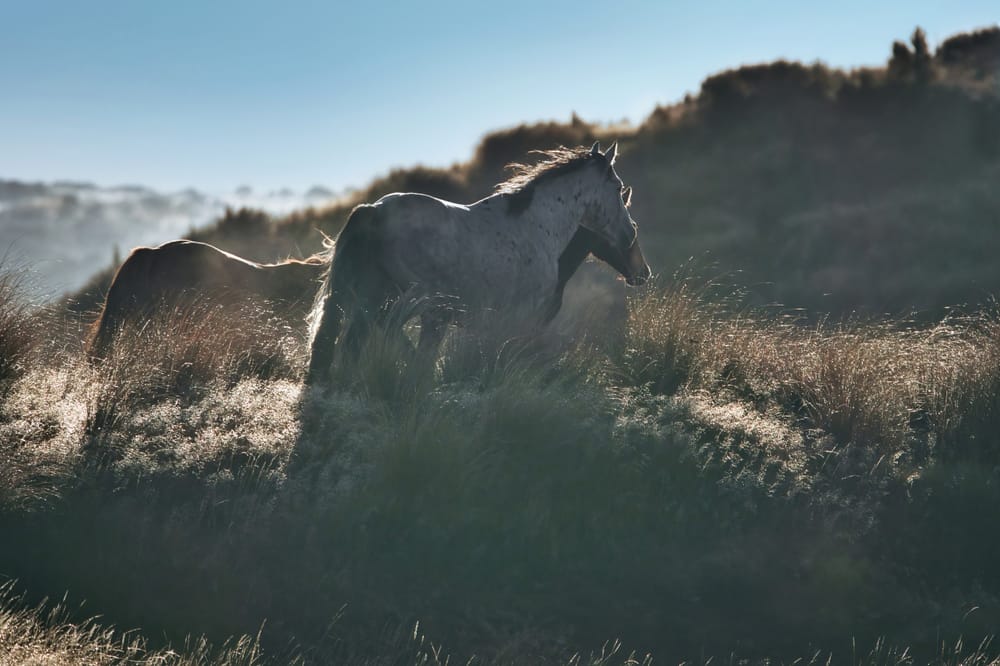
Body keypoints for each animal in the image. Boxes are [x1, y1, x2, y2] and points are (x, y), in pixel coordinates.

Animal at [306, 141, 651, 385]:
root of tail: (373, 210)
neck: (539, 226)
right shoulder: (523, 321)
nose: (642, 270)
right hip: (408, 302)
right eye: (619, 189)